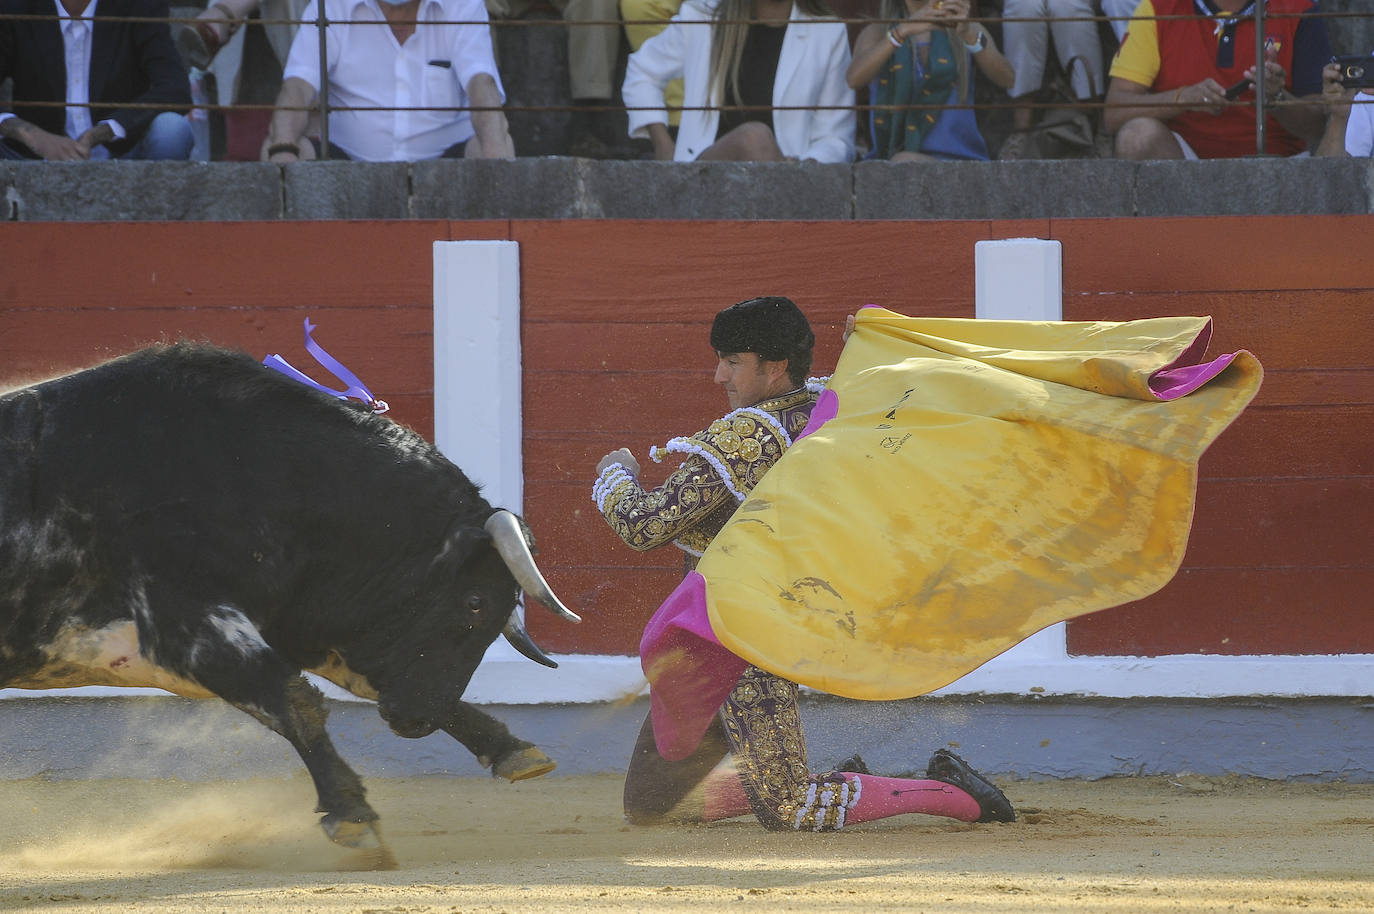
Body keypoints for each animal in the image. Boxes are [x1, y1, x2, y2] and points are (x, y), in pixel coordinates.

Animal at [0, 342, 577, 846]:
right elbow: (291, 697)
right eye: (474, 603)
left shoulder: (299, 621)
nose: (416, 720)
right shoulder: (182, 622)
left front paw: (513, 750)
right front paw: (351, 812)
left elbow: (359, 680)